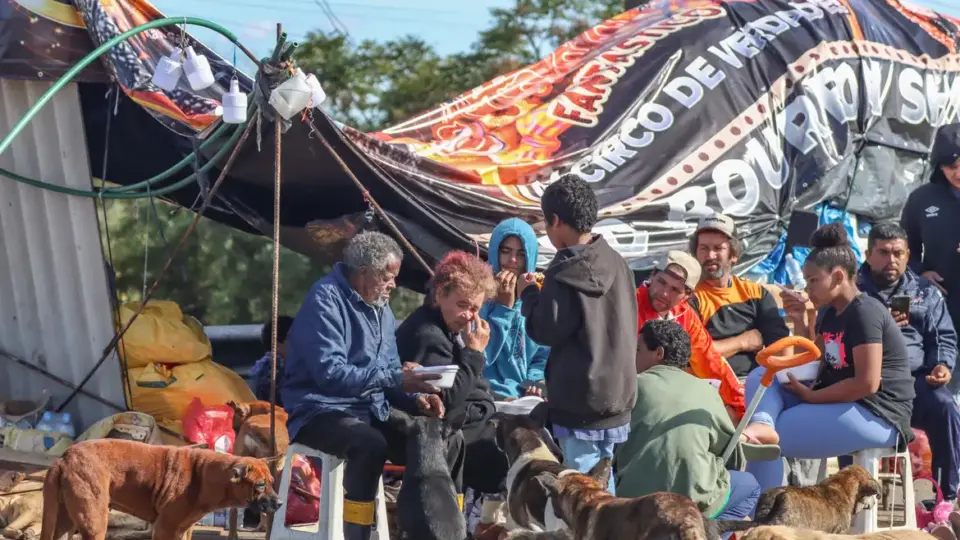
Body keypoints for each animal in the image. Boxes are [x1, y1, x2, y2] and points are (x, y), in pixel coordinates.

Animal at [41, 438, 282, 540]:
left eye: (272, 481)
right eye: (260, 485)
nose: (280, 503)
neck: (205, 476)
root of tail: (65, 457)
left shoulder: (182, 530)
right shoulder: (165, 529)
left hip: (63, 522)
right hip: (94, 524)